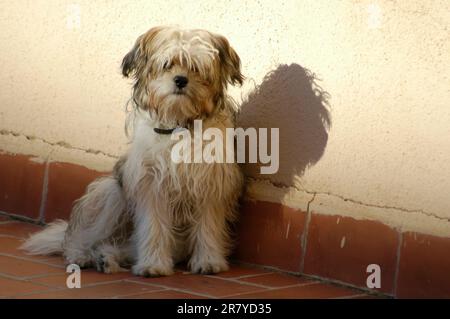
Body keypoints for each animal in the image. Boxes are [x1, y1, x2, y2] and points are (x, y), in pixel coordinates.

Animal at [22, 25, 243, 278]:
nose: (180, 80)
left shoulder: (211, 185)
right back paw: (83, 256)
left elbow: (208, 227)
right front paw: (153, 264)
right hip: (112, 194)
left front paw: (208, 260)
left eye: (196, 67)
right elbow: (153, 227)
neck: (179, 125)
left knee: (119, 246)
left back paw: (106, 259)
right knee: (86, 236)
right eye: (167, 64)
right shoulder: (150, 185)